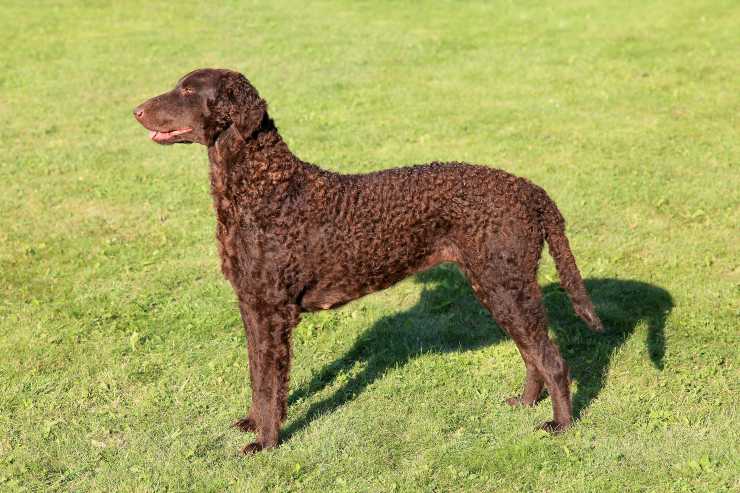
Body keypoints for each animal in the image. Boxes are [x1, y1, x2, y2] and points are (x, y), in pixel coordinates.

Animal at [136, 68, 604, 454]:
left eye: (189, 91)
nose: (136, 110)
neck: (265, 188)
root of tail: (530, 190)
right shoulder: (252, 306)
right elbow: (257, 377)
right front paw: (253, 424)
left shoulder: (273, 311)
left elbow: (270, 385)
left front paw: (265, 443)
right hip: (498, 287)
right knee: (532, 355)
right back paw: (523, 403)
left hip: (506, 285)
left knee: (552, 360)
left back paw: (561, 426)